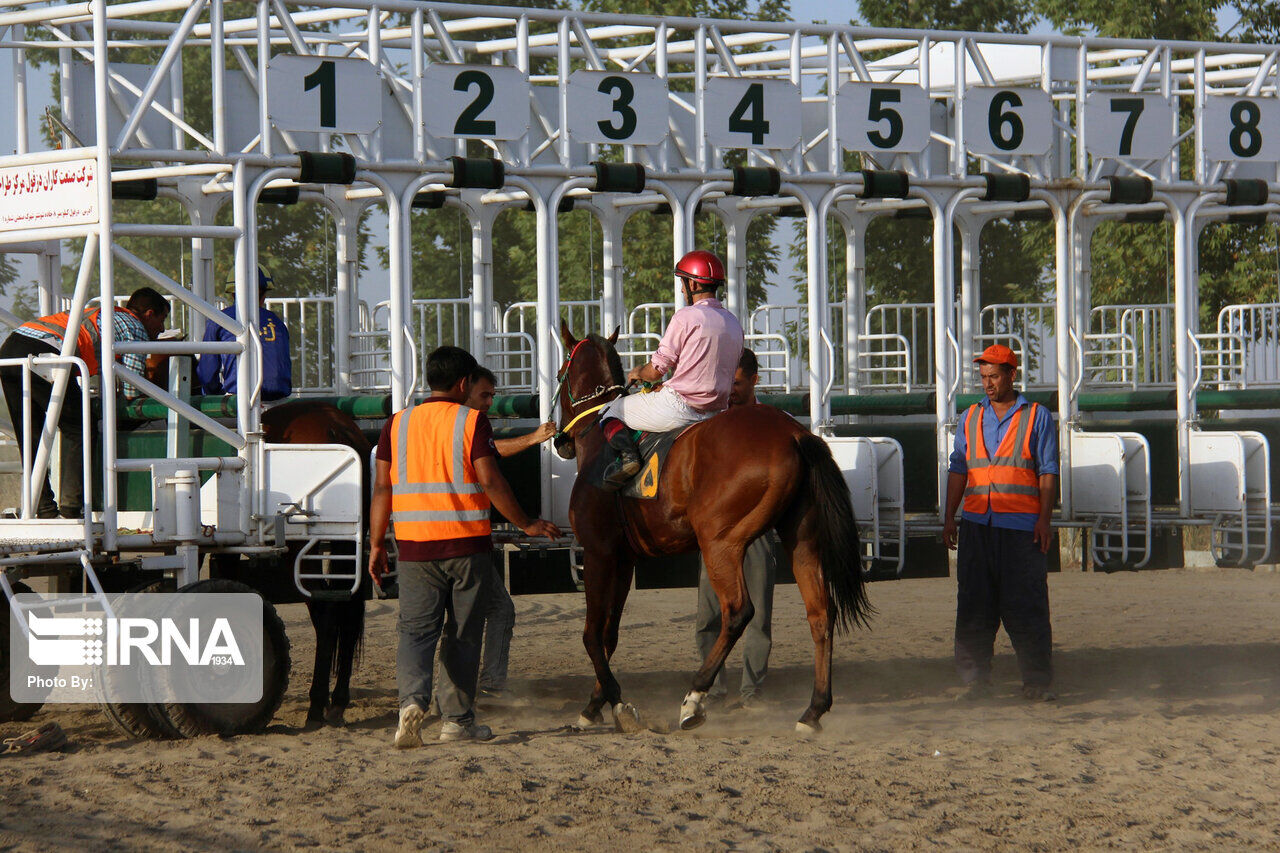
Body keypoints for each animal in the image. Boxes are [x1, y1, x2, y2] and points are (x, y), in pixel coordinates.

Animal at [259, 399, 371, 722]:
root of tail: (335, 425)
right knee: (347, 608)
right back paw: (338, 700)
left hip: (302, 549)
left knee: (326, 612)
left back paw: (317, 703)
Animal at [555, 322, 875, 732]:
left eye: (559, 373)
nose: (560, 440)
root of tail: (794, 433)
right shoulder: (623, 560)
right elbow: (609, 634)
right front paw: (595, 703)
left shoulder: (598, 553)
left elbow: (592, 635)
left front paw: (618, 704)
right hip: (801, 538)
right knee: (821, 613)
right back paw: (813, 710)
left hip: (720, 543)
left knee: (738, 612)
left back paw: (694, 699)